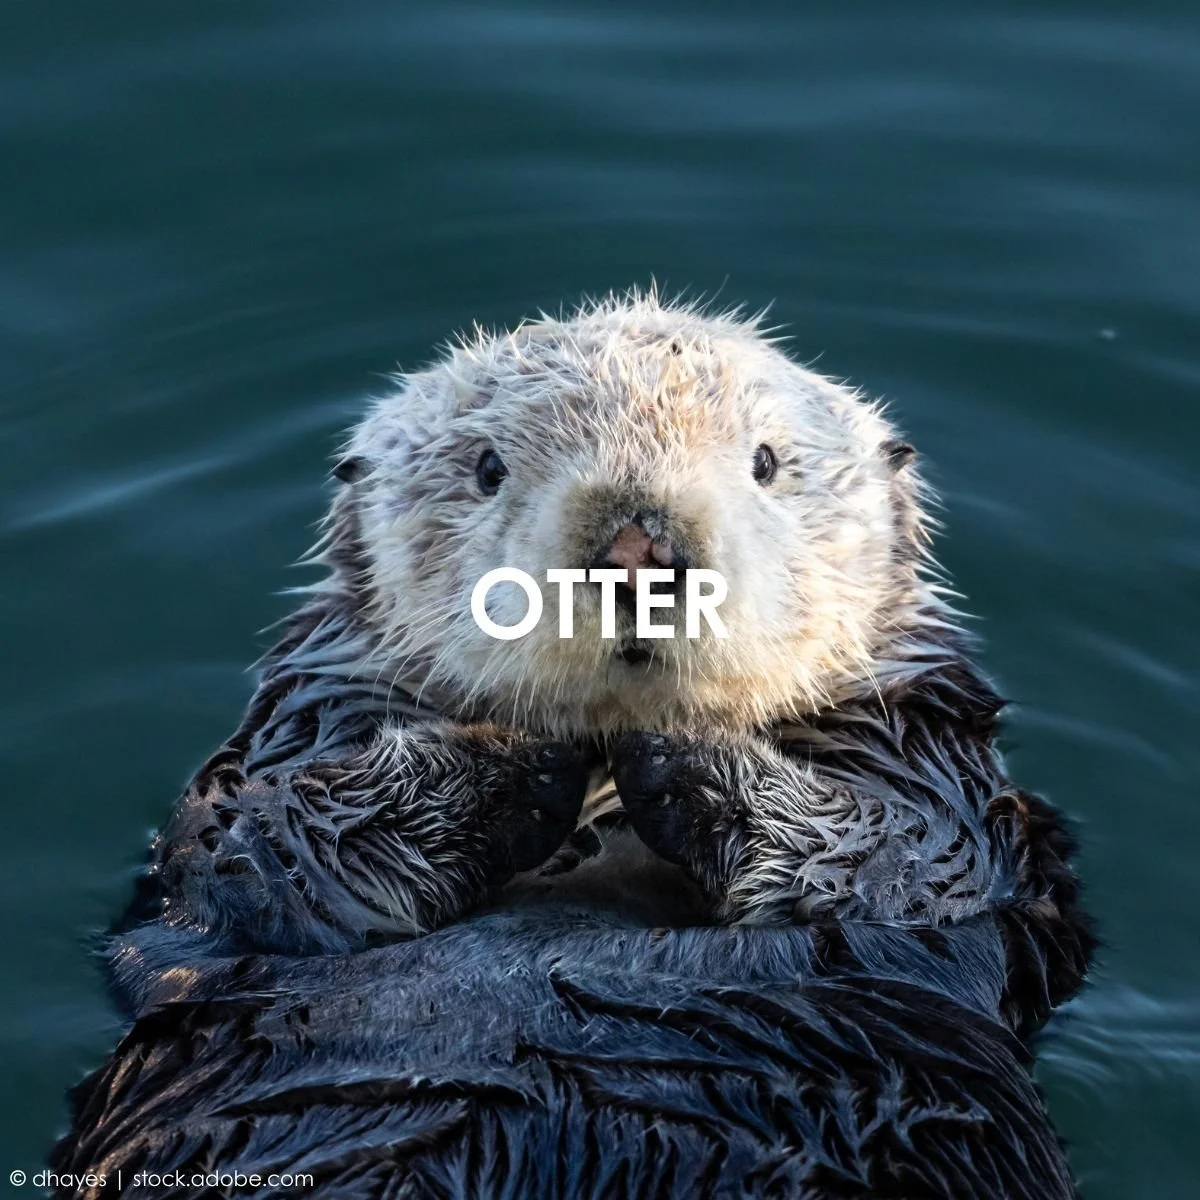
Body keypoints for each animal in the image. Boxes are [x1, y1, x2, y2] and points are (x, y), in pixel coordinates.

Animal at [52, 293, 1094, 1198]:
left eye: (766, 462)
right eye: (486, 468)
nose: (639, 548)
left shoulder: (950, 790)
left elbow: (902, 859)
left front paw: (679, 758)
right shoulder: (279, 760)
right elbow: (260, 842)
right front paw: (523, 764)